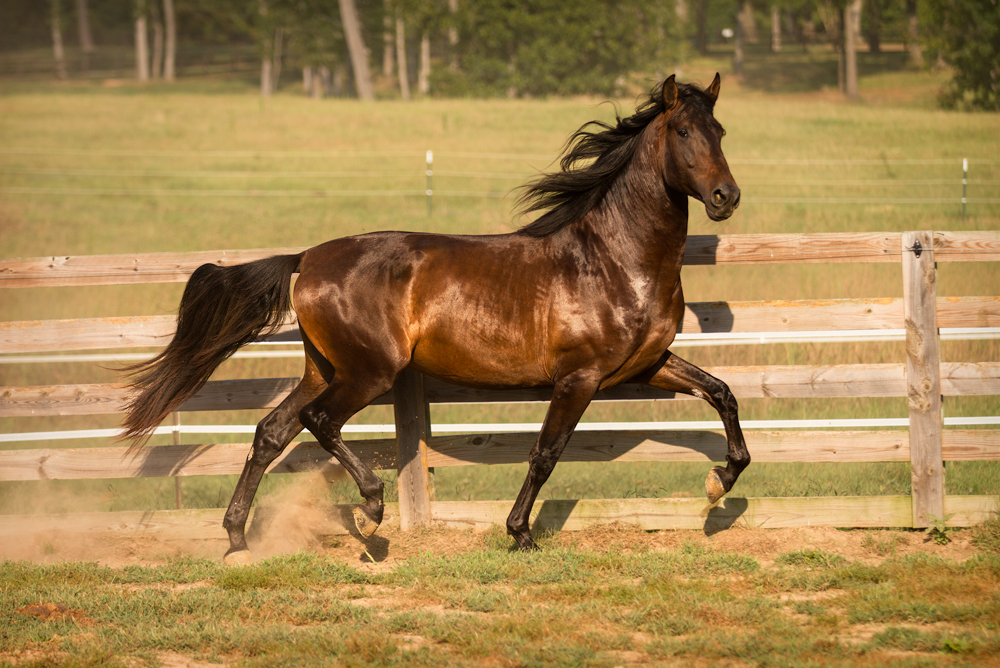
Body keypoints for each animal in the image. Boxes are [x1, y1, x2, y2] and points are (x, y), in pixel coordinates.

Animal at [123, 73, 752, 564]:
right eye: (683, 132)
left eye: (720, 132)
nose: (726, 197)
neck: (615, 260)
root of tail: (308, 257)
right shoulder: (580, 377)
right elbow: (546, 453)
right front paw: (520, 534)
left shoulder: (647, 365)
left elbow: (722, 393)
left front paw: (718, 483)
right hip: (369, 371)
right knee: (317, 420)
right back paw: (372, 510)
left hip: (323, 366)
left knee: (271, 431)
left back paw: (236, 539)